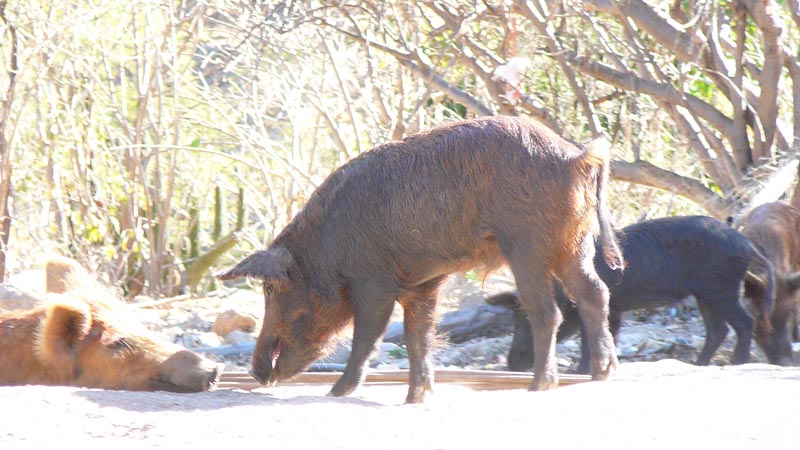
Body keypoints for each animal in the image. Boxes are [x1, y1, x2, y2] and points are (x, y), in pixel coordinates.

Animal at [216, 116, 624, 403]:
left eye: (270, 289)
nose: (256, 373)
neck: (323, 249)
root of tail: (575, 157)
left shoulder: (373, 282)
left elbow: (368, 337)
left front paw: (336, 393)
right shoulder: (423, 284)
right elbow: (419, 336)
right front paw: (417, 397)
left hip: (527, 245)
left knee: (547, 311)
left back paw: (540, 386)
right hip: (573, 245)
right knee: (595, 293)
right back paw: (602, 373)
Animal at [487, 215, 776, 372]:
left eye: (525, 321)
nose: (511, 364)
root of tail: (746, 244)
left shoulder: (604, 307)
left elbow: (590, 339)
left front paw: (580, 370)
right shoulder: (614, 310)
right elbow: (602, 336)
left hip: (721, 289)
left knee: (744, 323)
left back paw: (737, 363)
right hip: (706, 293)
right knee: (718, 330)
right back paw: (698, 364)